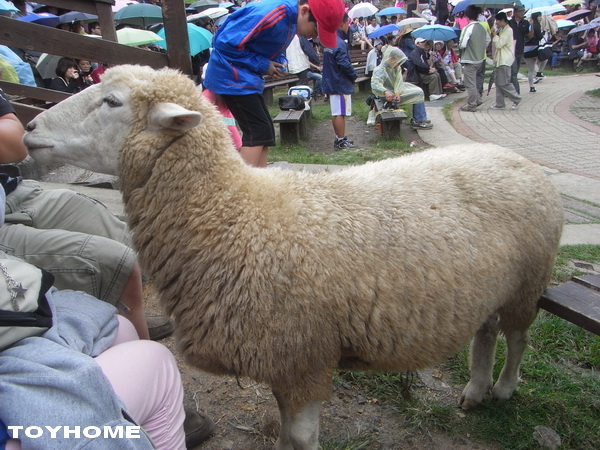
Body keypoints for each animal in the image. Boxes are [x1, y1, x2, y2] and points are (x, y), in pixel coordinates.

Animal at [23, 65, 564, 448]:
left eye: (112, 101)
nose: (28, 126)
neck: (230, 215)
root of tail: (513, 157)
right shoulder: (283, 362)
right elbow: (285, 435)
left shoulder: (304, 360)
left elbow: (301, 438)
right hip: (489, 285)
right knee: (487, 332)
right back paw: (474, 390)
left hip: (528, 279)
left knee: (517, 337)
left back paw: (503, 389)